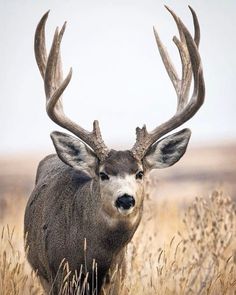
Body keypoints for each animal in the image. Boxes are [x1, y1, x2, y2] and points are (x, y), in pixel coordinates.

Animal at [24, 5, 205, 294]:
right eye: (103, 174)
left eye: (140, 173)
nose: (125, 199)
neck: (93, 260)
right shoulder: (59, 275)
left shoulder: (118, 278)